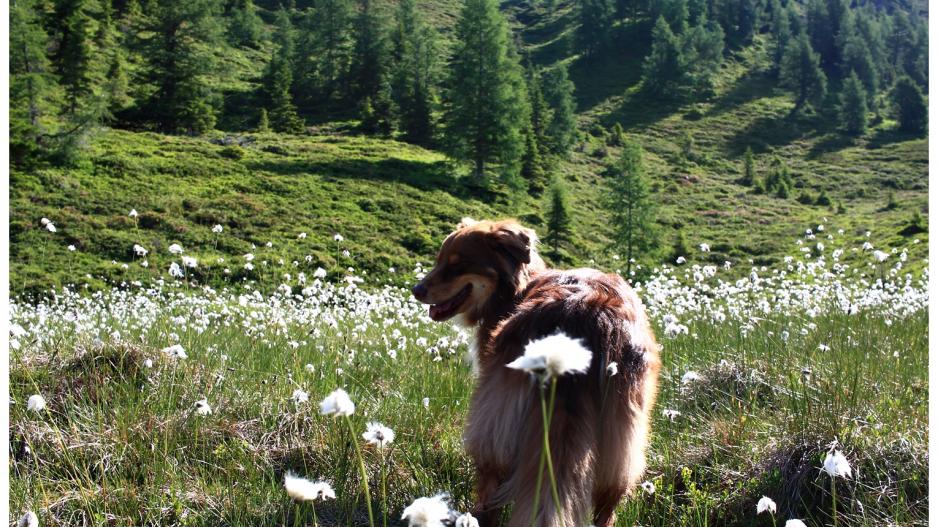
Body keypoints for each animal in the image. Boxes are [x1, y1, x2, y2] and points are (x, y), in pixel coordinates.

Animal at [410, 220, 660, 527]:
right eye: (439, 260)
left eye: (458, 265)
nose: (416, 290)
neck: (514, 290)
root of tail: (580, 318)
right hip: (623, 435)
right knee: (609, 499)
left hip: (493, 421)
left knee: (489, 484)